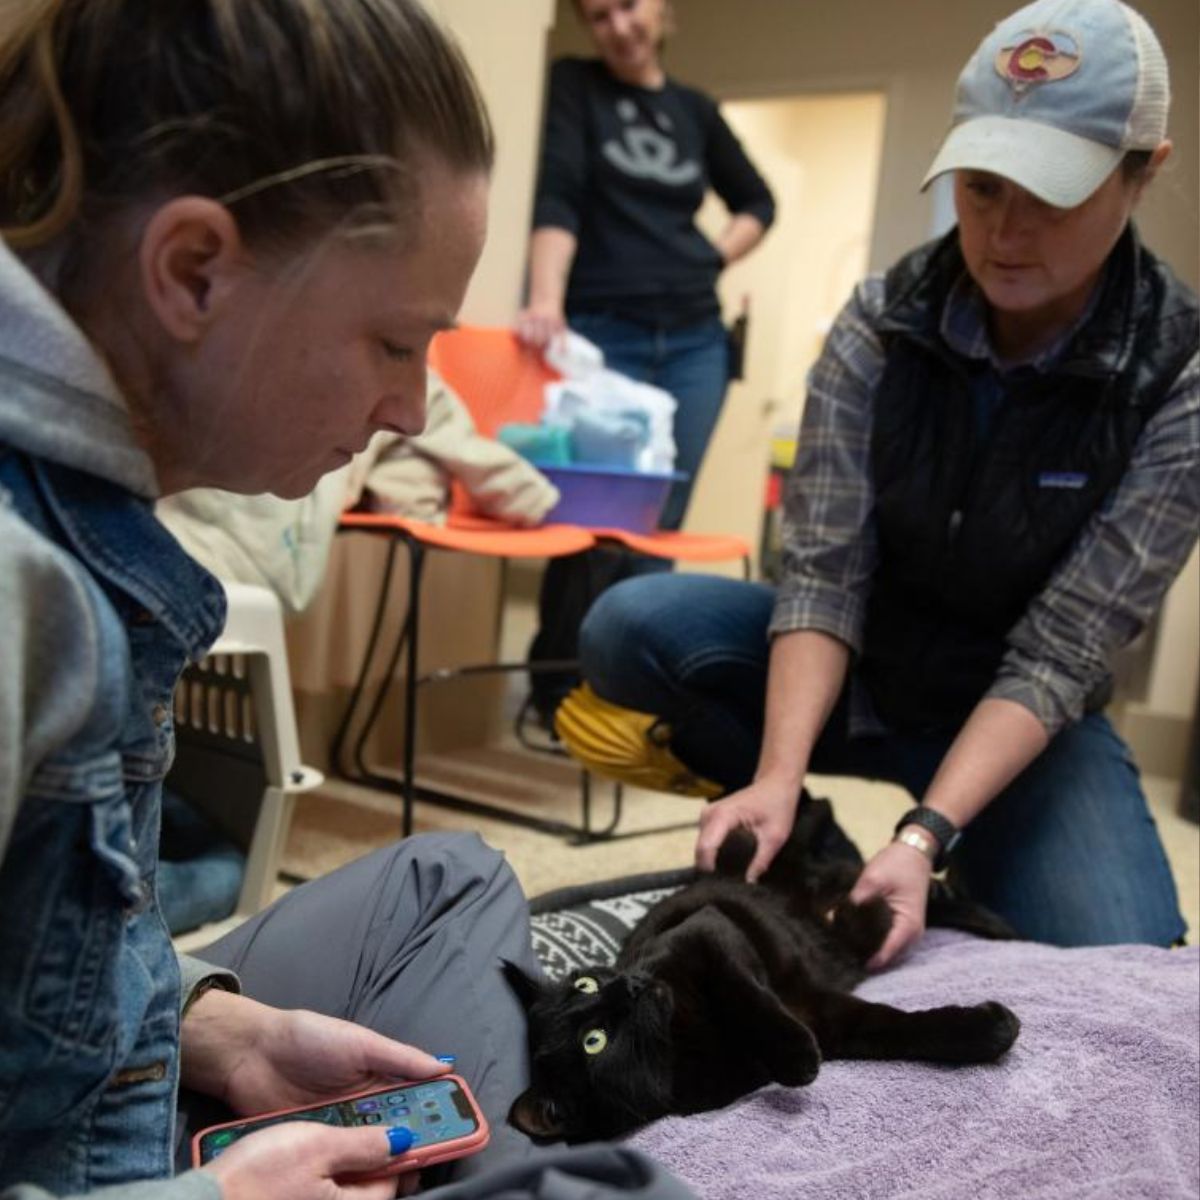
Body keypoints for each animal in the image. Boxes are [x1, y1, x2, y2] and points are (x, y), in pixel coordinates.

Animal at [501, 796, 1017, 1142]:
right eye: (594, 1041)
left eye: (586, 982)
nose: (629, 986)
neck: (682, 1040)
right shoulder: (830, 1023)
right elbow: (896, 1030)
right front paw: (990, 1031)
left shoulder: (707, 930)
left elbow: (748, 995)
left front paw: (794, 1052)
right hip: (861, 928)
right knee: (901, 900)